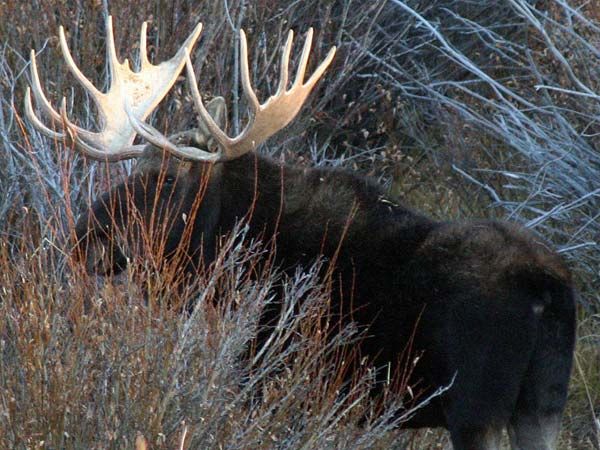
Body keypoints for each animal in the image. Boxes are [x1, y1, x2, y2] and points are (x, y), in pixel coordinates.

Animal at [27, 16, 576, 450]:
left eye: (164, 179)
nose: (83, 239)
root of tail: (548, 289)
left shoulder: (272, 379)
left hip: (475, 410)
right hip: (541, 407)